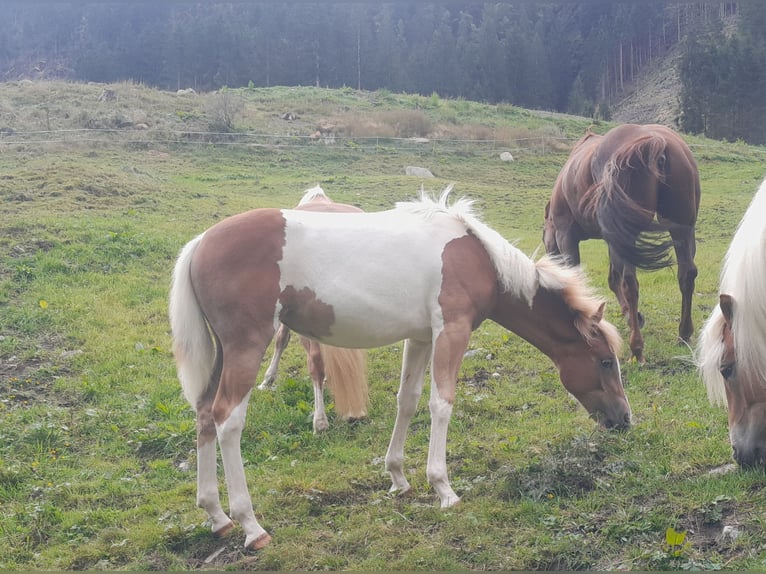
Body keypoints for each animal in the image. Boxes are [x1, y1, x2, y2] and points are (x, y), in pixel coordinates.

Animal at [543, 123, 700, 363]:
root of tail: (657, 141)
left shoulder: (566, 235)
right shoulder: (612, 239)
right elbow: (612, 278)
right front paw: (631, 315)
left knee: (631, 284)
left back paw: (637, 348)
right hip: (681, 228)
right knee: (687, 274)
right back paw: (683, 333)